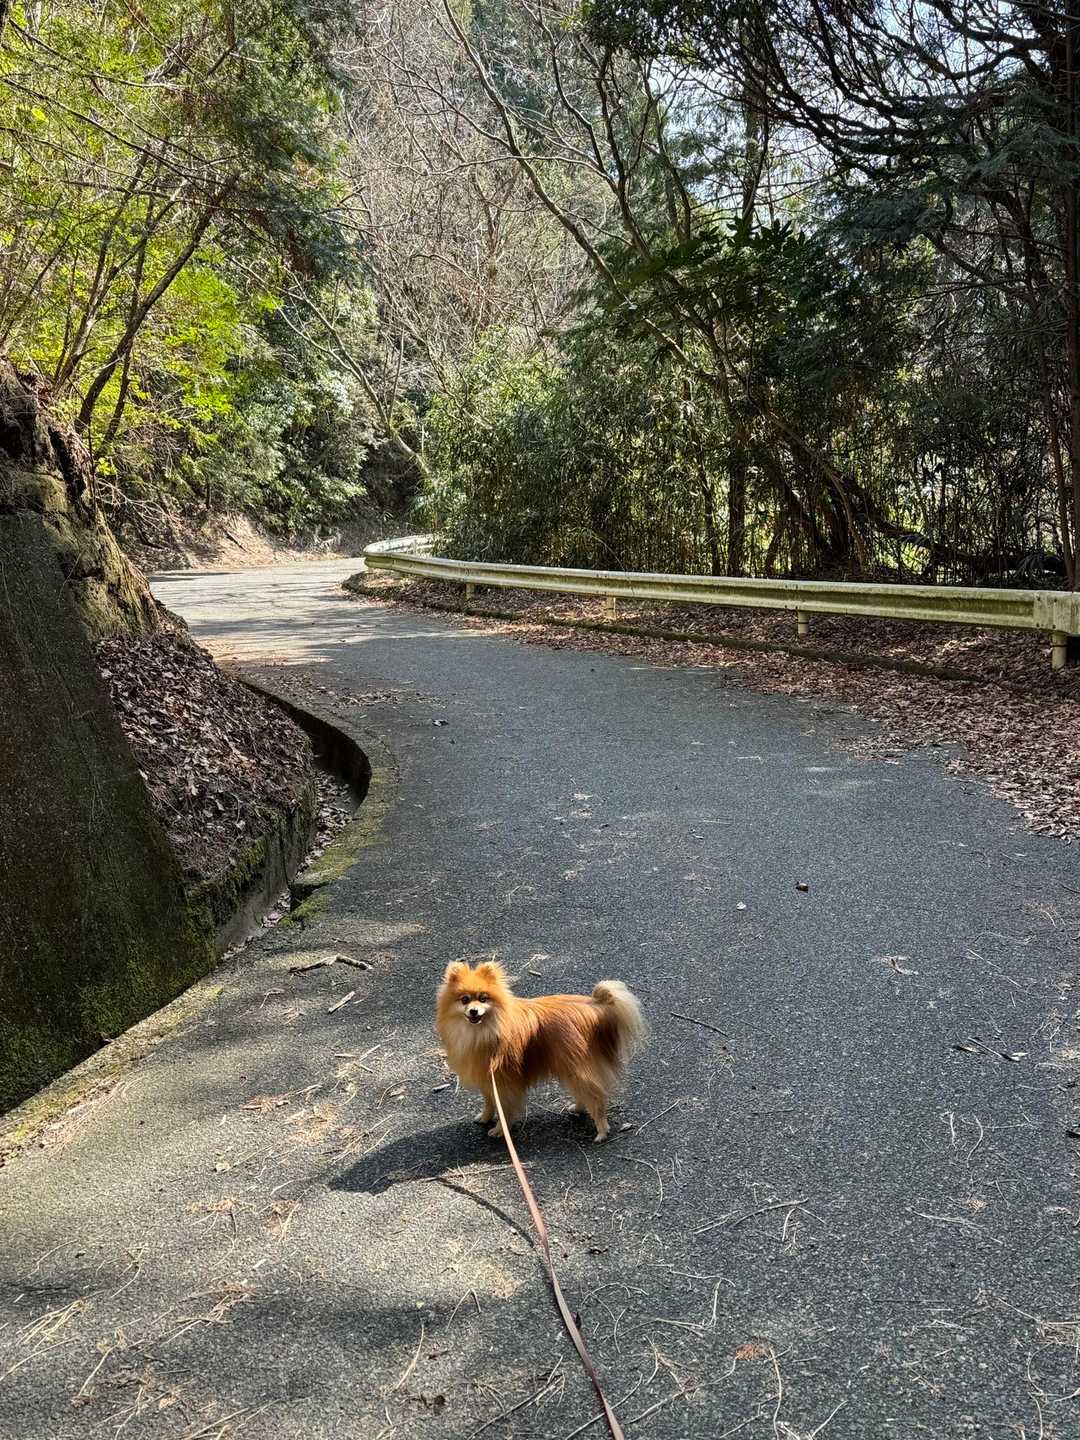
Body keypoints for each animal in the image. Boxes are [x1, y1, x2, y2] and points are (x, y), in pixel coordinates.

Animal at [436, 959, 644, 1141]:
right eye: (464, 1000)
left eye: (483, 998)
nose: (473, 1011)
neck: (485, 1031)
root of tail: (596, 1006)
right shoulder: (487, 1080)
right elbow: (489, 1102)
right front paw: (485, 1117)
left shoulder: (504, 1082)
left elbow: (505, 1109)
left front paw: (500, 1130)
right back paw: (578, 1108)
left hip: (575, 1066)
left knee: (596, 1096)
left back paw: (601, 1130)